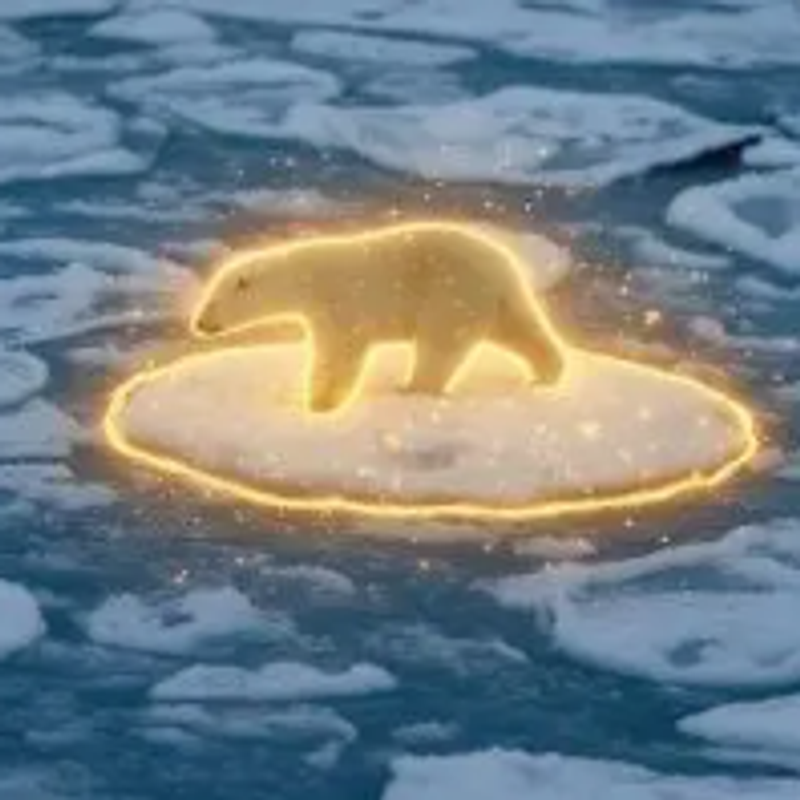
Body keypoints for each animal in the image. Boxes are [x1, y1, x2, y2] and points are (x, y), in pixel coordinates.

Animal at [191, 221, 566, 413]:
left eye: (212, 302)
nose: (200, 324)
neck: (306, 279)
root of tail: (506, 274)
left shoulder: (340, 302)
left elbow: (340, 353)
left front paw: (320, 402)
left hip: (451, 294)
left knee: (438, 346)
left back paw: (411, 388)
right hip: (493, 302)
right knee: (522, 331)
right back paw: (546, 373)